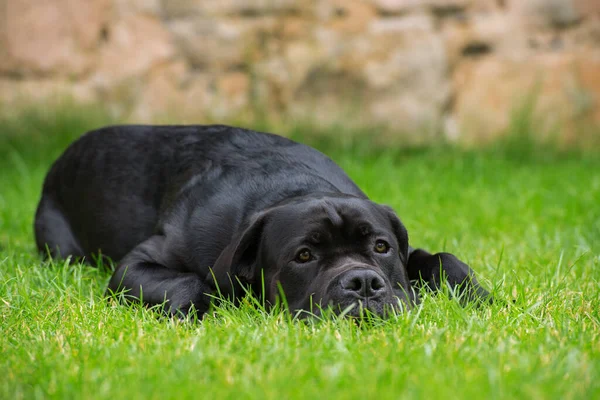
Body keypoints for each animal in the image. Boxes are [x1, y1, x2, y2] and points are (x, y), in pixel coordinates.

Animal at [34, 125, 492, 318]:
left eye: (381, 247)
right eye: (303, 255)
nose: (363, 283)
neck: (292, 188)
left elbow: (444, 259)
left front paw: (481, 298)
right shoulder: (136, 264)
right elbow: (190, 283)